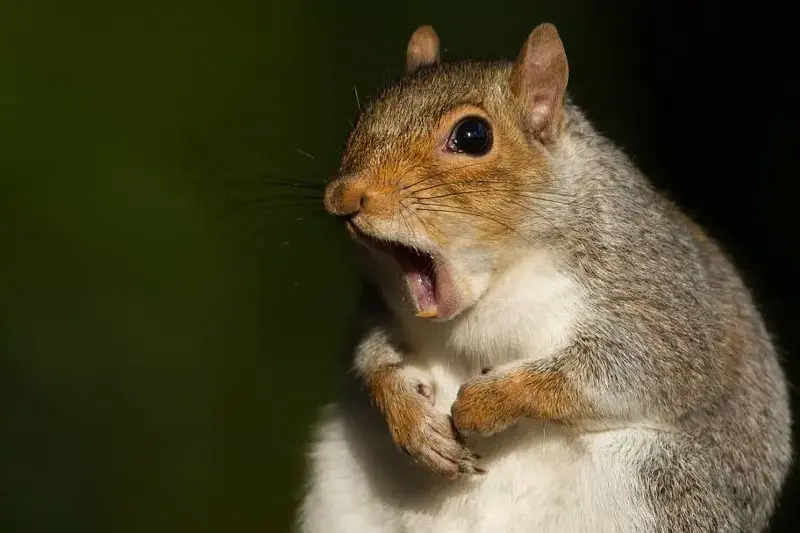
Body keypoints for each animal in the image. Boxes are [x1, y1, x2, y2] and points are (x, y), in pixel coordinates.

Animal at [296, 23, 792, 533]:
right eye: (366, 113)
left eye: (473, 135)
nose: (342, 196)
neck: (494, 283)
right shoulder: (381, 304)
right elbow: (374, 351)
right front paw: (410, 416)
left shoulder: (658, 295)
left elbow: (626, 369)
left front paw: (485, 402)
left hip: (659, 481)